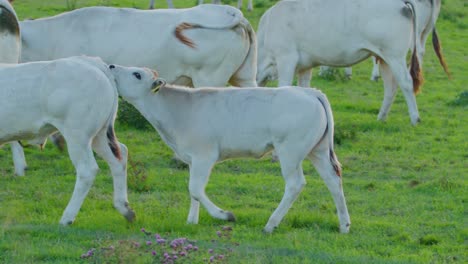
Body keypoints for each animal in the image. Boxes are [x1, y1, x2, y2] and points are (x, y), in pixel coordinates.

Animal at [0, 56, 137, 225]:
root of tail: (91, 61)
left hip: (78, 135)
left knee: (87, 170)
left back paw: (66, 219)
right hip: (99, 134)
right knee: (119, 158)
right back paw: (125, 209)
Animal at [110, 65, 352, 234]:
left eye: (137, 74)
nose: (111, 66)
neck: (178, 108)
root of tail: (310, 92)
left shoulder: (205, 156)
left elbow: (195, 189)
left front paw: (224, 215)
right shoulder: (192, 159)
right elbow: (193, 191)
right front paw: (191, 221)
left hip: (290, 151)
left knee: (295, 184)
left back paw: (270, 224)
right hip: (318, 151)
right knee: (333, 179)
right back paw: (344, 225)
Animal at [256, 0, 424, 125]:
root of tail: (401, 3)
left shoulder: (286, 58)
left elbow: (284, 86)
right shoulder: (305, 66)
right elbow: (303, 88)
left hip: (394, 56)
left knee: (406, 82)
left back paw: (415, 118)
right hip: (384, 58)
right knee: (391, 86)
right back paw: (381, 117)